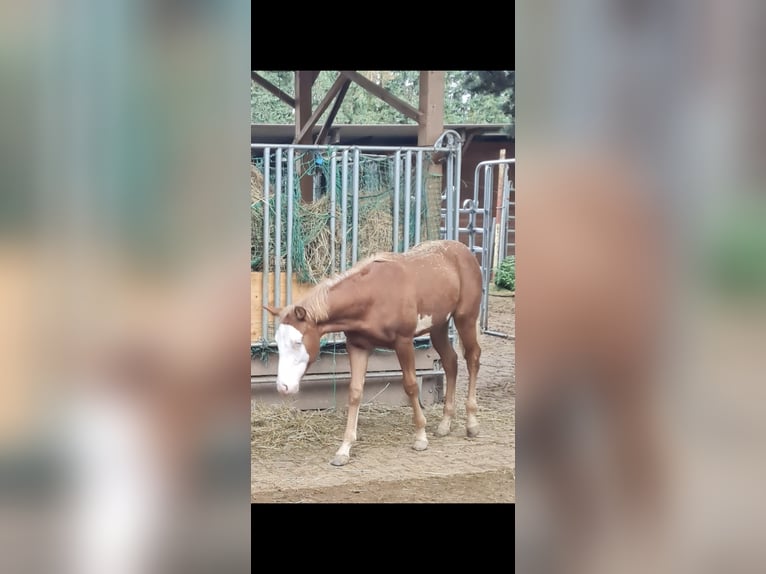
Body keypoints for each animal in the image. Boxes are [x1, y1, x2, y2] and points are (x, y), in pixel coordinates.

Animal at [264, 240, 480, 468]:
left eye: (298, 342)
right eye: (278, 342)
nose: (283, 387)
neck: (372, 297)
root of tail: (463, 250)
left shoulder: (403, 342)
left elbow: (411, 386)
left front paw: (420, 436)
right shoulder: (357, 347)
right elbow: (355, 392)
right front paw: (344, 450)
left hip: (465, 318)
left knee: (473, 358)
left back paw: (472, 424)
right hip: (439, 326)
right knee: (450, 362)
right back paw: (445, 424)